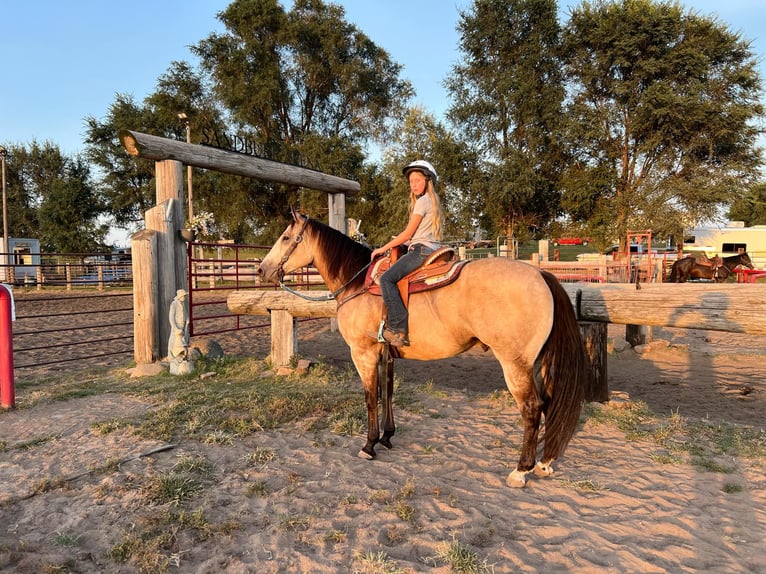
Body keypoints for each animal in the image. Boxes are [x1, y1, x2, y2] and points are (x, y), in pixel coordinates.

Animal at [255, 214, 592, 488]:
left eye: (285, 237)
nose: (261, 269)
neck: (357, 284)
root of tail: (541, 275)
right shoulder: (386, 354)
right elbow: (388, 393)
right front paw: (387, 437)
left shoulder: (363, 354)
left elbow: (370, 398)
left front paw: (369, 445)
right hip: (538, 363)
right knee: (548, 403)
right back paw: (544, 463)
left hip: (515, 364)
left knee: (532, 408)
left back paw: (521, 470)